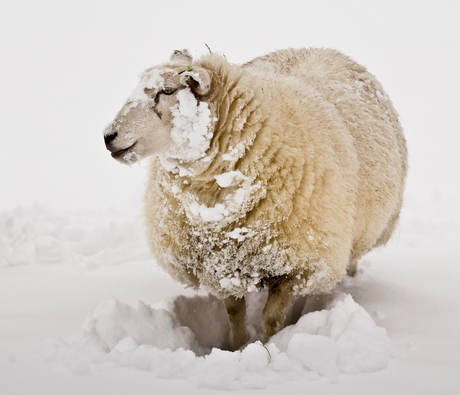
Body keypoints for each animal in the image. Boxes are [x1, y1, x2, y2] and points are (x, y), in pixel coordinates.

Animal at [103, 48, 406, 352]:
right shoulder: (221, 264)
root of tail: (322, 49)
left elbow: (271, 318)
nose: (108, 136)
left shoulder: (298, 266)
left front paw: (271, 349)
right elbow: (234, 313)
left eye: (166, 91)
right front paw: (237, 347)